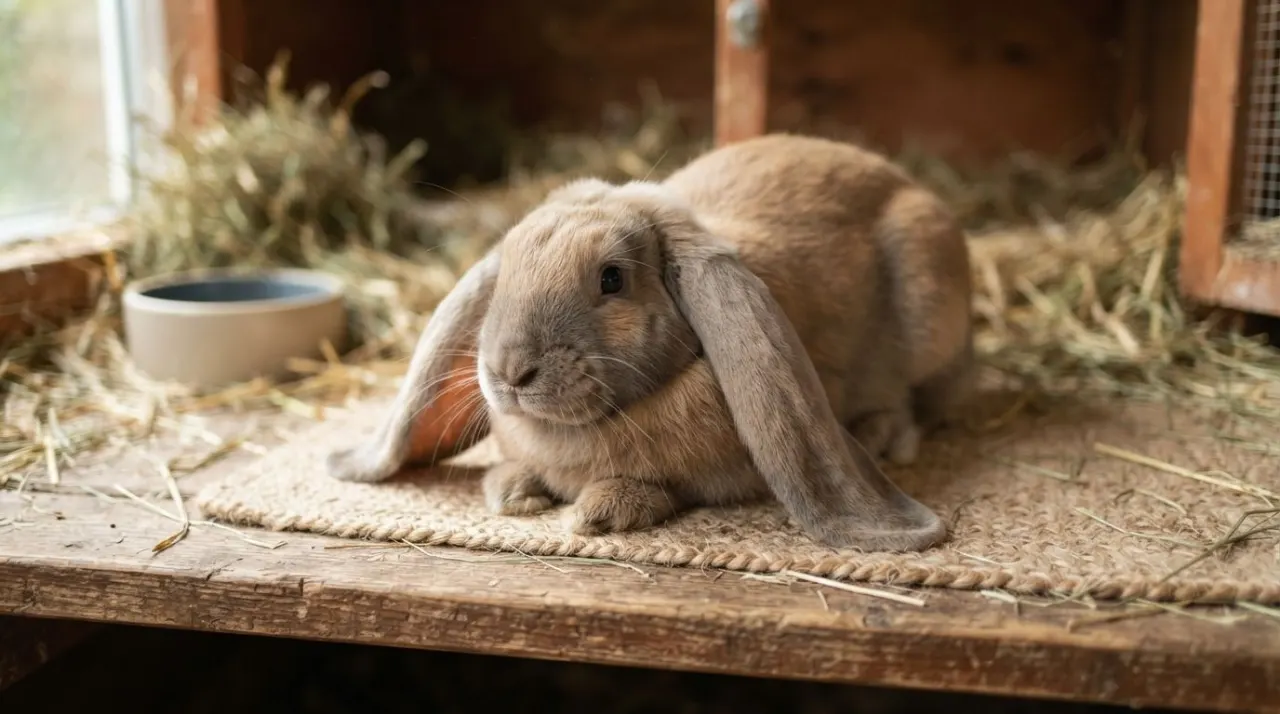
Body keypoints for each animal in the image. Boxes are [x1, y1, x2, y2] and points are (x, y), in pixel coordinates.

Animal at [325, 133, 973, 552]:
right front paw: (511, 491)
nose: (508, 370)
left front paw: (600, 511)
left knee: (923, 395)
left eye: (612, 279)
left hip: (930, 320)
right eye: (505, 268)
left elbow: (666, 489)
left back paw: (884, 434)